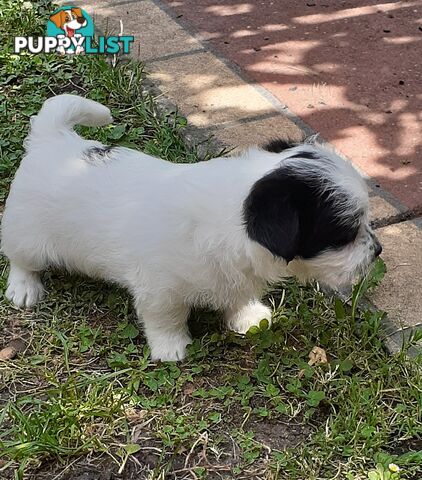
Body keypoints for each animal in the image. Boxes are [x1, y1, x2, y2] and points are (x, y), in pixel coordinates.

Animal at [0, 94, 382, 360]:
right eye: (345, 233)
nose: (377, 251)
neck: (229, 216)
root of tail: (54, 139)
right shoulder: (159, 289)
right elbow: (165, 318)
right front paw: (171, 347)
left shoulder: (234, 275)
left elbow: (237, 295)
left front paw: (247, 317)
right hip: (27, 234)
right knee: (20, 260)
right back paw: (24, 287)